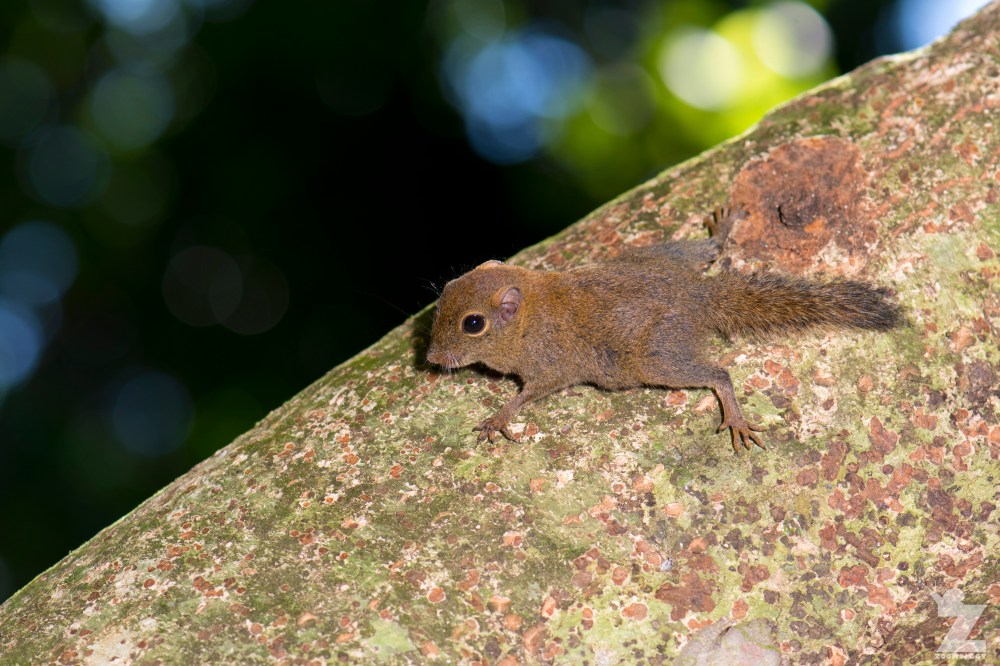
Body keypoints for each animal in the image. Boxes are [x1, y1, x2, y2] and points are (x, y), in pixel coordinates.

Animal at [426, 208, 902, 452]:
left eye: (472, 324)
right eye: (444, 293)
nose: (430, 357)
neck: (529, 315)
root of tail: (698, 295)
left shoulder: (550, 368)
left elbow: (526, 396)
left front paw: (498, 417)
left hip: (655, 356)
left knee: (719, 375)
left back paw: (735, 416)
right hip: (657, 256)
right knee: (705, 252)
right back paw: (720, 235)